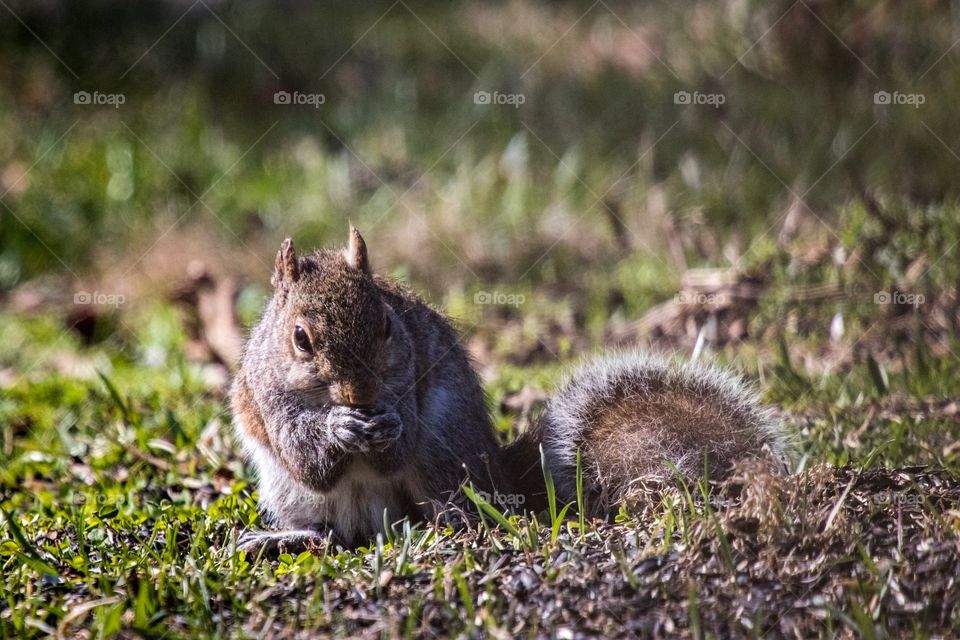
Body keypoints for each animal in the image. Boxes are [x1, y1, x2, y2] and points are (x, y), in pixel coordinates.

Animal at [231, 227, 789, 554]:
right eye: (300, 340)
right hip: (288, 490)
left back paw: (439, 527)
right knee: (327, 530)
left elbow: (396, 448)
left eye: (388, 326)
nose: (361, 393)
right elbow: (306, 458)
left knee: (455, 510)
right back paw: (282, 537)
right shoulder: (269, 400)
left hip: (445, 447)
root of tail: (498, 471)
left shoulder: (407, 381)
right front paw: (337, 428)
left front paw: (385, 425)